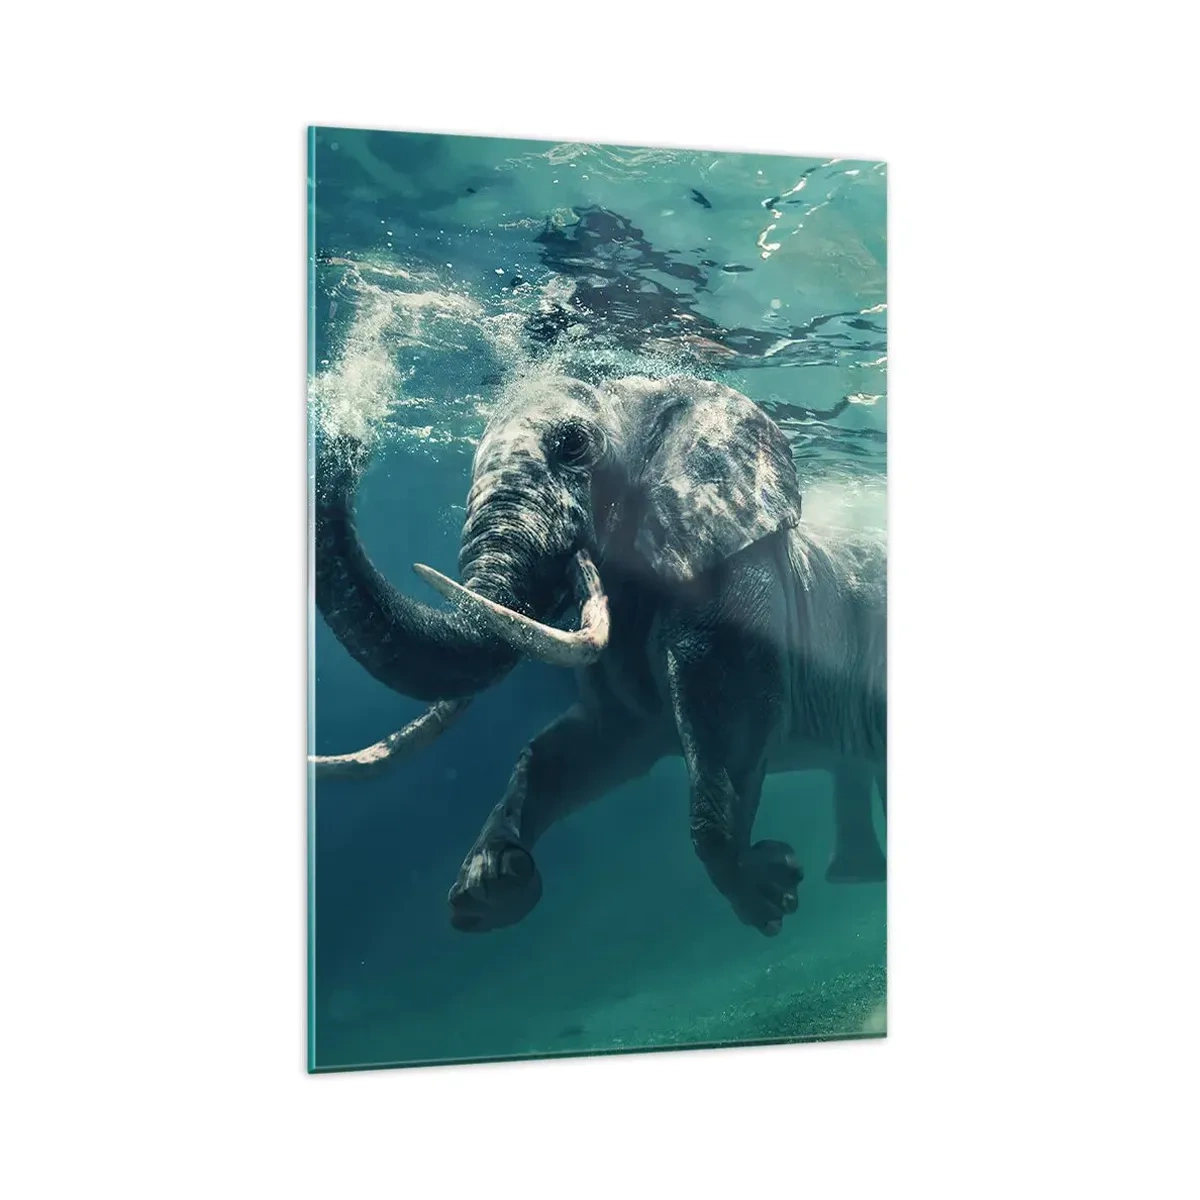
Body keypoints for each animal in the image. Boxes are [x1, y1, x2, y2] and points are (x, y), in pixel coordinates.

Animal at [313, 372, 886, 937]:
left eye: (572, 446)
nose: (343, 441)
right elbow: (581, 745)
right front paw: (491, 887)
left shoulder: (740, 580)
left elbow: (728, 720)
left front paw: (769, 893)